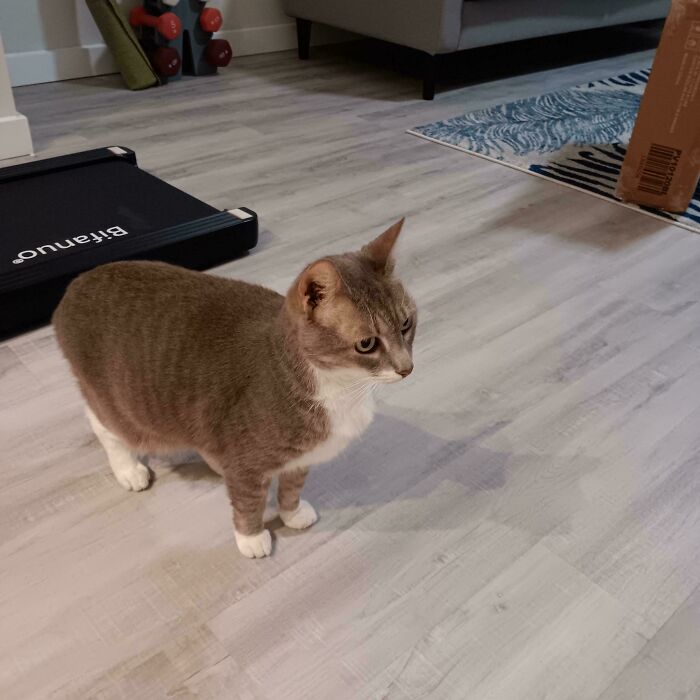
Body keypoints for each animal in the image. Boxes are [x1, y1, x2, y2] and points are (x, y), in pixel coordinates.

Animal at [56, 219, 416, 556]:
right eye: (367, 344)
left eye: (406, 324)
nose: (407, 368)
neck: (339, 386)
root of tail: (76, 285)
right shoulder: (248, 462)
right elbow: (248, 501)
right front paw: (252, 537)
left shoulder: (299, 457)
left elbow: (292, 487)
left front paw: (292, 513)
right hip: (127, 409)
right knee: (104, 424)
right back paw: (129, 469)